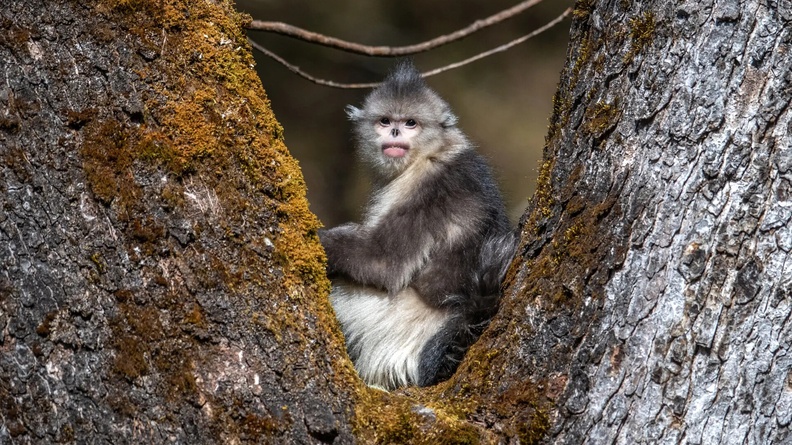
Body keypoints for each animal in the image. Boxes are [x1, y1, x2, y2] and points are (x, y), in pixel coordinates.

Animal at [319, 60, 517, 390]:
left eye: (410, 123)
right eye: (385, 121)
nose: (395, 130)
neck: (431, 152)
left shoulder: (428, 189)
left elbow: (383, 263)